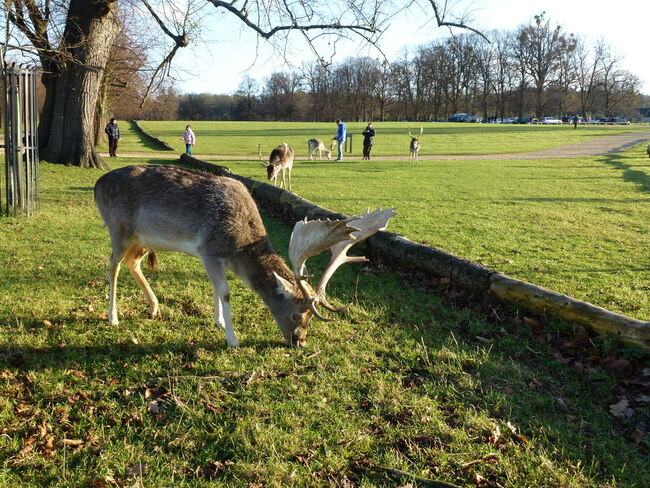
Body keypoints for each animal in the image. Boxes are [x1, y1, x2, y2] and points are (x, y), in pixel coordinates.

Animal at [92, 166, 394, 348]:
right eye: (297, 314)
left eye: (310, 315)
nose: (299, 342)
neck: (239, 246)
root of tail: (98, 184)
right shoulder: (208, 249)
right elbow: (225, 292)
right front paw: (232, 338)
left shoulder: (214, 257)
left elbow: (215, 288)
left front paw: (219, 322)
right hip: (118, 228)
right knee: (113, 265)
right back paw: (112, 317)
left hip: (141, 239)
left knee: (132, 262)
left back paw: (154, 307)